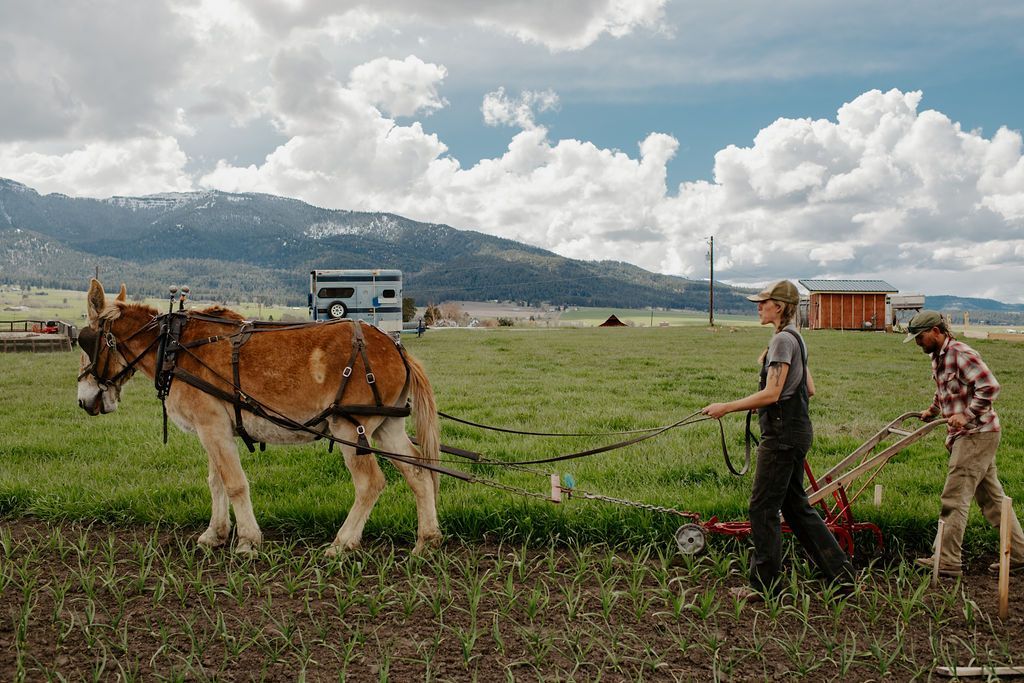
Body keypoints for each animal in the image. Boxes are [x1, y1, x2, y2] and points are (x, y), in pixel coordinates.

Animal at [72, 280, 440, 552]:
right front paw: (215, 534)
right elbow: (216, 482)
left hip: (351, 429)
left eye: (85, 341)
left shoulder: (212, 426)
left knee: (370, 484)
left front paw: (248, 539)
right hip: (387, 426)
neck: (174, 347)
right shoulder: (214, 429)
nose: (83, 399)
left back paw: (343, 542)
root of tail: (397, 349)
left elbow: (234, 483)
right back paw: (427, 540)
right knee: (419, 474)